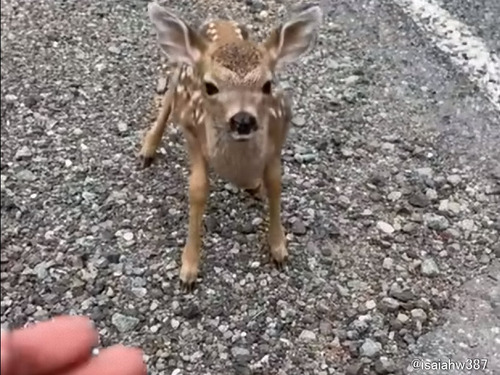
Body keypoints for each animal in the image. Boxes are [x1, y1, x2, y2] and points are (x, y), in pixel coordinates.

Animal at [141, 0, 324, 290]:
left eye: (267, 84)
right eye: (210, 86)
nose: (243, 120)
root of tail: (221, 21)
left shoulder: (279, 133)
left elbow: (275, 183)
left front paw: (279, 248)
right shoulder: (191, 130)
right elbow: (197, 190)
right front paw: (188, 269)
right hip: (178, 72)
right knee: (168, 98)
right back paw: (147, 149)